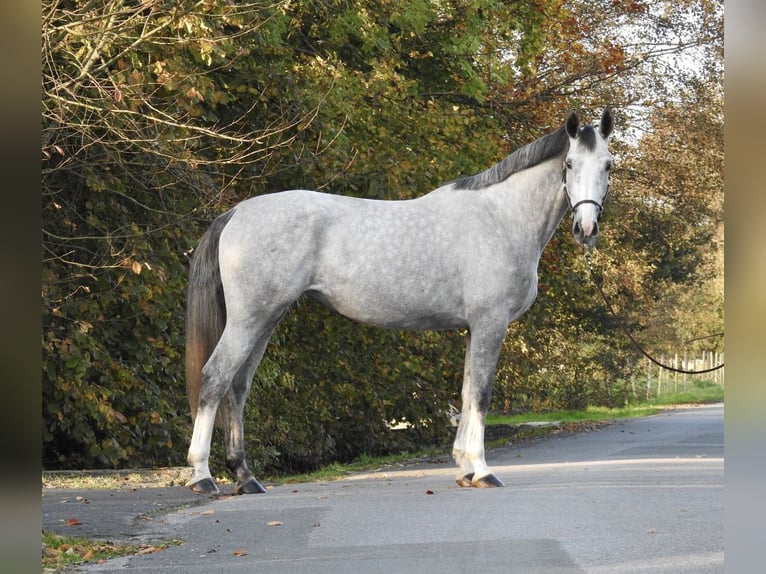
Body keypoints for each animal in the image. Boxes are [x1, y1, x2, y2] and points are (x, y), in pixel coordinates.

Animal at [186, 109, 616, 496]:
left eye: (608, 165)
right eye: (570, 164)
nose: (587, 228)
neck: (501, 217)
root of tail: (237, 212)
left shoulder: (472, 328)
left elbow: (466, 392)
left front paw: (464, 468)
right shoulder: (490, 323)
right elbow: (481, 393)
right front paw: (481, 471)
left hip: (264, 320)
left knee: (238, 387)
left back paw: (245, 477)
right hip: (249, 319)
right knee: (215, 378)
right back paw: (202, 476)